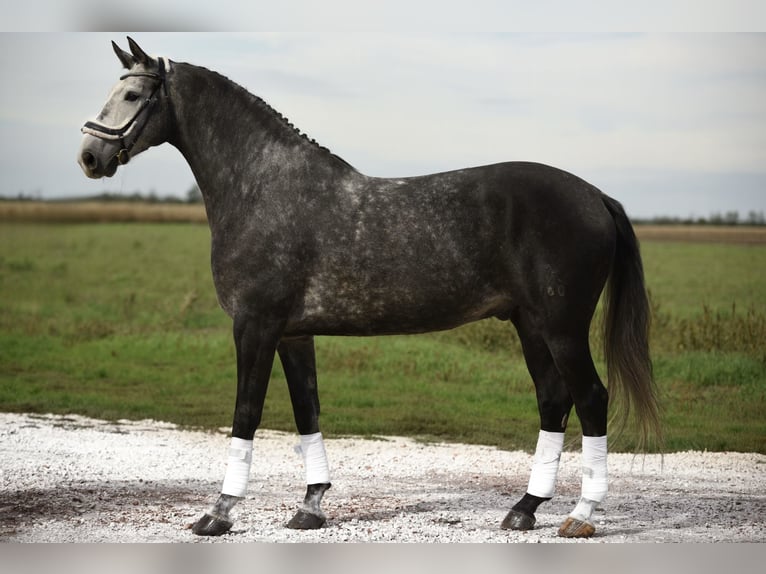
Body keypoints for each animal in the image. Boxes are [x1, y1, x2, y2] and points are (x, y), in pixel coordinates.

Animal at [81, 39, 664, 540]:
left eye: (132, 95)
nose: (89, 156)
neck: (265, 187)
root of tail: (594, 196)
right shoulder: (292, 335)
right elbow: (307, 411)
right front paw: (311, 507)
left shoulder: (255, 326)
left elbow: (246, 415)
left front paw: (218, 514)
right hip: (530, 324)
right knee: (553, 400)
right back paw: (524, 509)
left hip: (562, 326)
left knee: (591, 399)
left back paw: (581, 515)